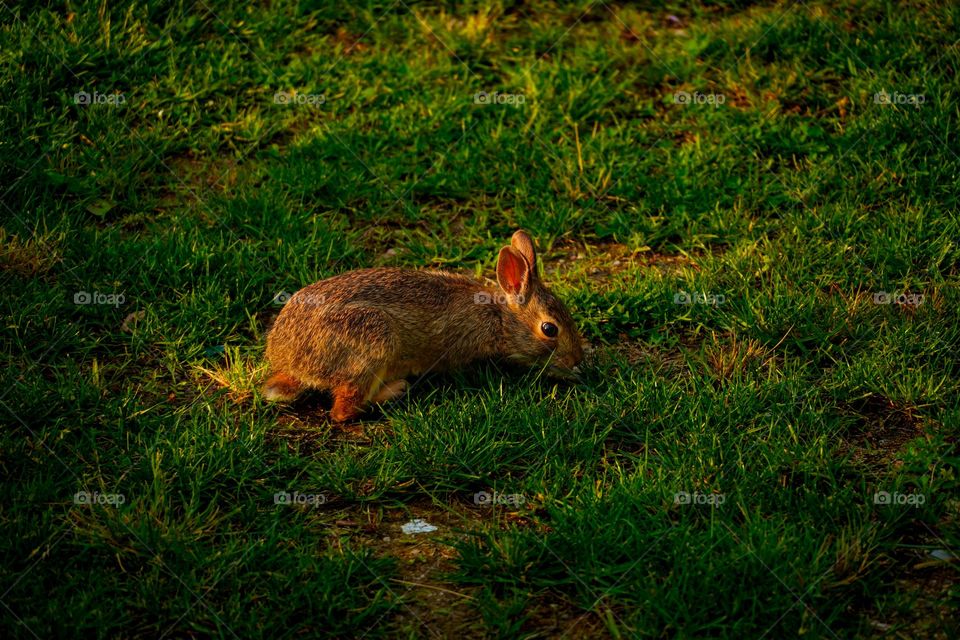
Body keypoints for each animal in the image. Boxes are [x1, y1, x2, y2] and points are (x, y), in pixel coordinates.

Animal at [262, 230, 584, 422]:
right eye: (549, 329)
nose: (578, 360)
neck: (500, 318)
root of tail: (292, 364)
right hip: (372, 342)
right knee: (343, 409)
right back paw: (394, 390)